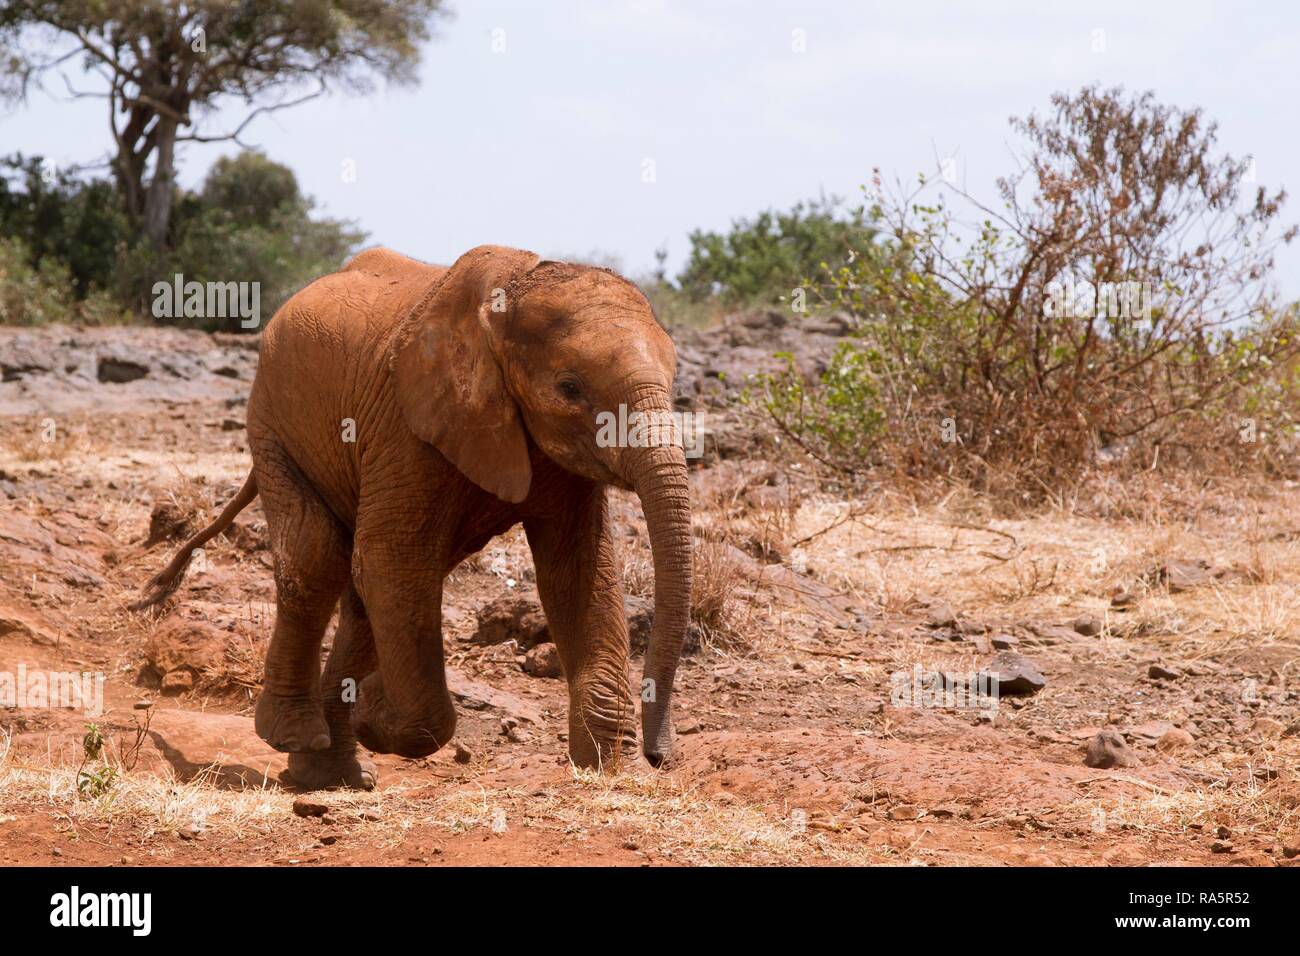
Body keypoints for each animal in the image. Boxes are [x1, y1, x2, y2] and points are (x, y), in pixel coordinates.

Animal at [133, 243, 696, 790]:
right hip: (274, 422)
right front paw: (372, 712)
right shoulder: (407, 425)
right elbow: (393, 561)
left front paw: (605, 772)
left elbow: (579, 578)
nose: (660, 756)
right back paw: (299, 735)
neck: (510, 297)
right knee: (320, 559)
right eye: (570, 388)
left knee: (360, 591)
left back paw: (329, 775)